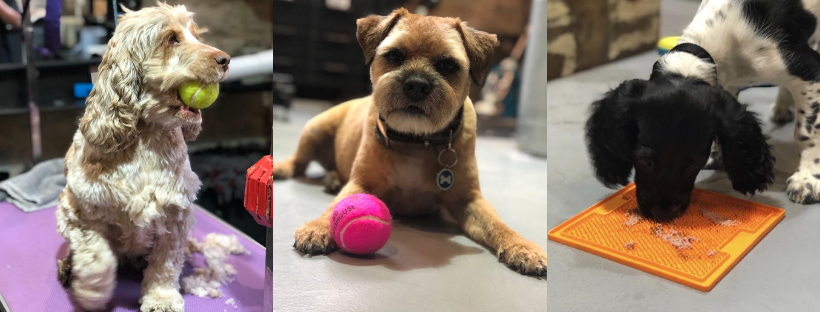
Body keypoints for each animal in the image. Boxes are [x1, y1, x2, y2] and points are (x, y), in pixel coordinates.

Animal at [54, 3, 229, 312]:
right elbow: (96, 255)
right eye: (171, 39)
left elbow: (166, 264)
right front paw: (92, 291)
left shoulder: (175, 214)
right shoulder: (78, 210)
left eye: (196, 36)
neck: (148, 138)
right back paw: (69, 267)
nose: (226, 60)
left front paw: (161, 298)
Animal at [272, 7, 548, 276]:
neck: (417, 140)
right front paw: (319, 226)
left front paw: (522, 246)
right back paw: (285, 168)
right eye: (394, 55)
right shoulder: (360, 183)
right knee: (299, 163)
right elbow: (337, 206)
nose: (416, 85)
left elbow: (497, 224)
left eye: (448, 64)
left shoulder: (469, 200)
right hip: (314, 130)